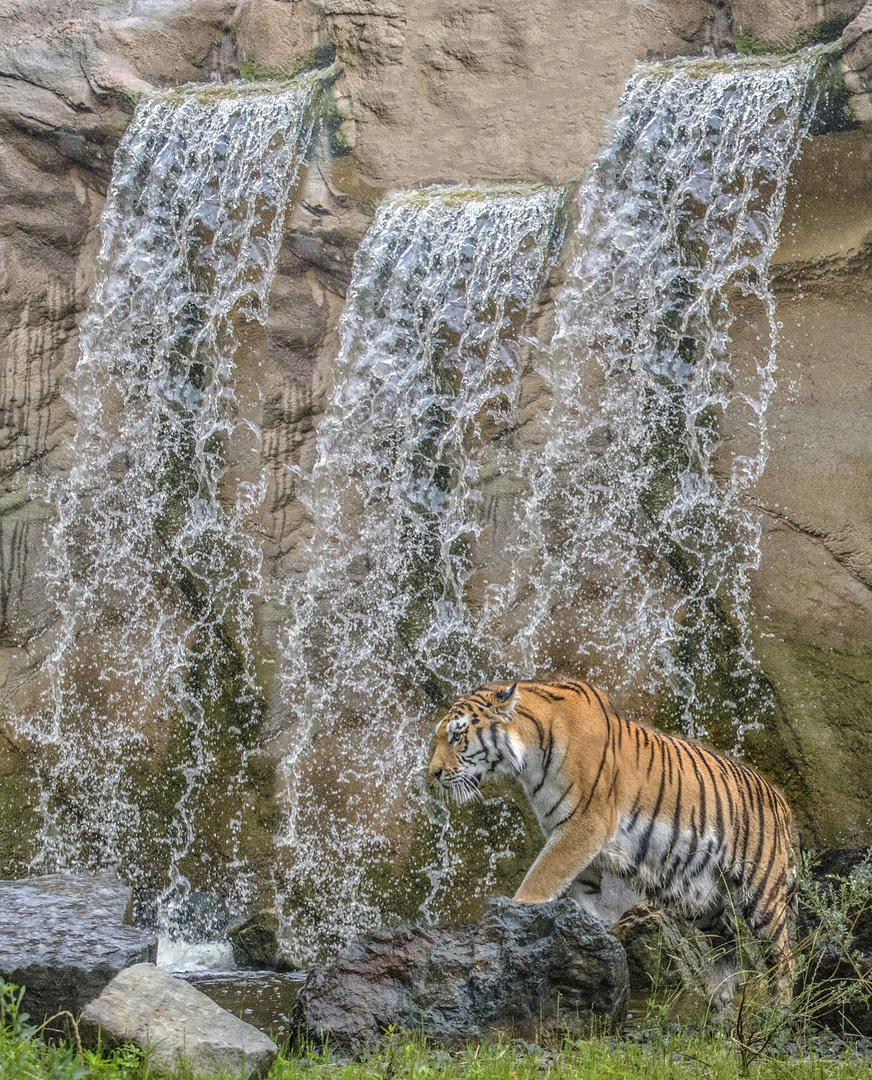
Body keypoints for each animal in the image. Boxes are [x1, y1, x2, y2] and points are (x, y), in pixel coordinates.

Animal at [425, 678, 795, 1006]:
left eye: (457, 736)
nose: (433, 773)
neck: (528, 761)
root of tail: (782, 800)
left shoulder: (584, 826)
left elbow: (539, 879)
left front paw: (514, 915)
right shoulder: (573, 839)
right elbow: (581, 894)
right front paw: (587, 940)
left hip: (760, 893)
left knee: (784, 957)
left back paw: (780, 1013)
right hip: (697, 895)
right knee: (727, 939)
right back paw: (719, 1001)